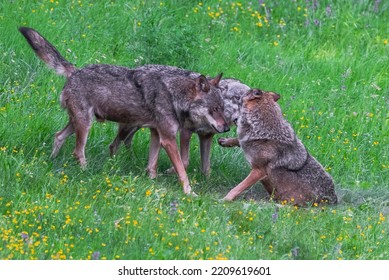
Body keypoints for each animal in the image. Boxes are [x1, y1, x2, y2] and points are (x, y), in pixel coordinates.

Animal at [19, 27, 227, 196]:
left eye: (223, 108)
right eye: (215, 109)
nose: (226, 129)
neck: (173, 95)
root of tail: (75, 70)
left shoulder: (156, 134)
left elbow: (152, 165)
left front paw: (152, 183)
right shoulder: (168, 139)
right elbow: (182, 170)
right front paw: (189, 192)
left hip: (79, 123)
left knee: (58, 136)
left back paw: (52, 161)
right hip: (86, 126)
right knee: (77, 152)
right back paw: (85, 173)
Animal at [107, 64, 250, 176]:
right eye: (238, 99)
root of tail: (137, 68)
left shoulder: (206, 137)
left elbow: (206, 168)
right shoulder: (186, 131)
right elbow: (185, 161)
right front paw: (170, 171)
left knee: (127, 141)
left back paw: (131, 158)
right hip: (132, 125)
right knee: (115, 144)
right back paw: (116, 163)